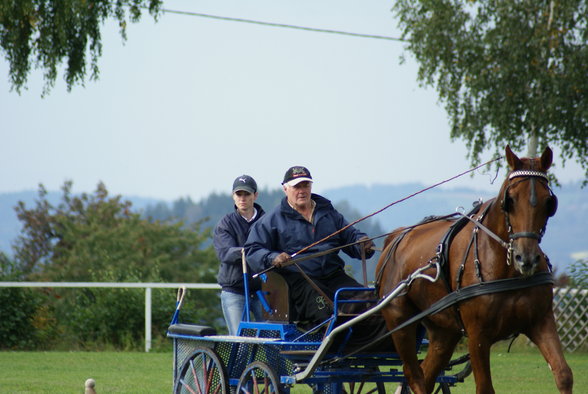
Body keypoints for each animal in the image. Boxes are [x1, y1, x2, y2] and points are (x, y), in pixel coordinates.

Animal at [376, 146, 576, 392]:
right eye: (509, 200)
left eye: (549, 202)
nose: (526, 258)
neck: (507, 271)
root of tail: (396, 237)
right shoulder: (477, 335)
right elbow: (485, 387)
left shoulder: (541, 321)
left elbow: (563, 375)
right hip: (400, 321)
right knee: (413, 373)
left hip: (444, 331)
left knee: (427, 373)